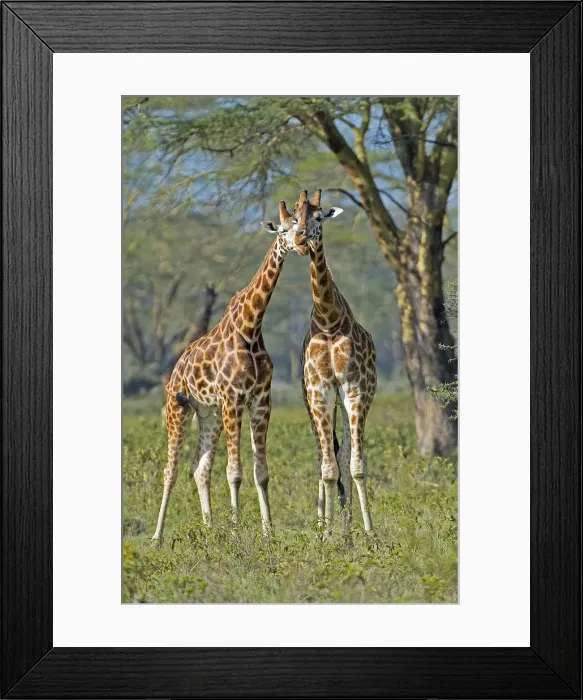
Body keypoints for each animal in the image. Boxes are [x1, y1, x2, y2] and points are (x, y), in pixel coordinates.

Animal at [152, 202, 311, 543]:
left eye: (303, 226)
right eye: (283, 229)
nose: (303, 245)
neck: (251, 327)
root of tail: (175, 371)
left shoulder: (260, 401)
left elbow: (261, 472)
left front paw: (268, 534)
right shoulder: (233, 399)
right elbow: (234, 472)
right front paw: (237, 535)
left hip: (208, 414)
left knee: (200, 469)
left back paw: (210, 531)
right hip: (178, 409)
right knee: (170, 470)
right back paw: (157, 538)